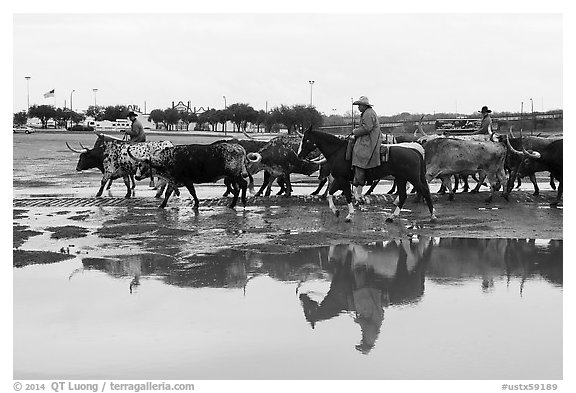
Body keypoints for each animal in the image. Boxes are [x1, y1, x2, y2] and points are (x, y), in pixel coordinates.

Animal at [296, 128, 436, 222]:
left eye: (306, 140)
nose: (299, 156)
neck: (339, 152)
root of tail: (415, 151)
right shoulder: (339, 179)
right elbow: (330, 193)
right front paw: (335, 211)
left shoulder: (343, 179)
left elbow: (347, 195)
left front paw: (350, 214)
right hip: (401, 178)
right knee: (403, 195)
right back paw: (392, 216)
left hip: (413, 178)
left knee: (424, 191)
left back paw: (433, 215)